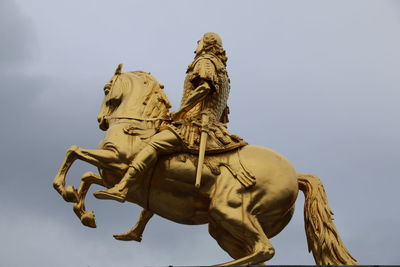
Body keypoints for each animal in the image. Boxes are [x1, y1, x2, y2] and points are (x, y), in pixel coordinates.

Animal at [52, 66, 356, 266]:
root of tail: (296, 175)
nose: (101, 120)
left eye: (106, 89)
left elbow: (74, 152)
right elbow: (87, 176)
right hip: (223, 229)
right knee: (258, 255)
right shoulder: (112, 173)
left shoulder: (117, 161)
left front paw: (65, 190)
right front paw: (83, 210)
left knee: (265, 249)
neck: (137, 126)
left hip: (229, 211)